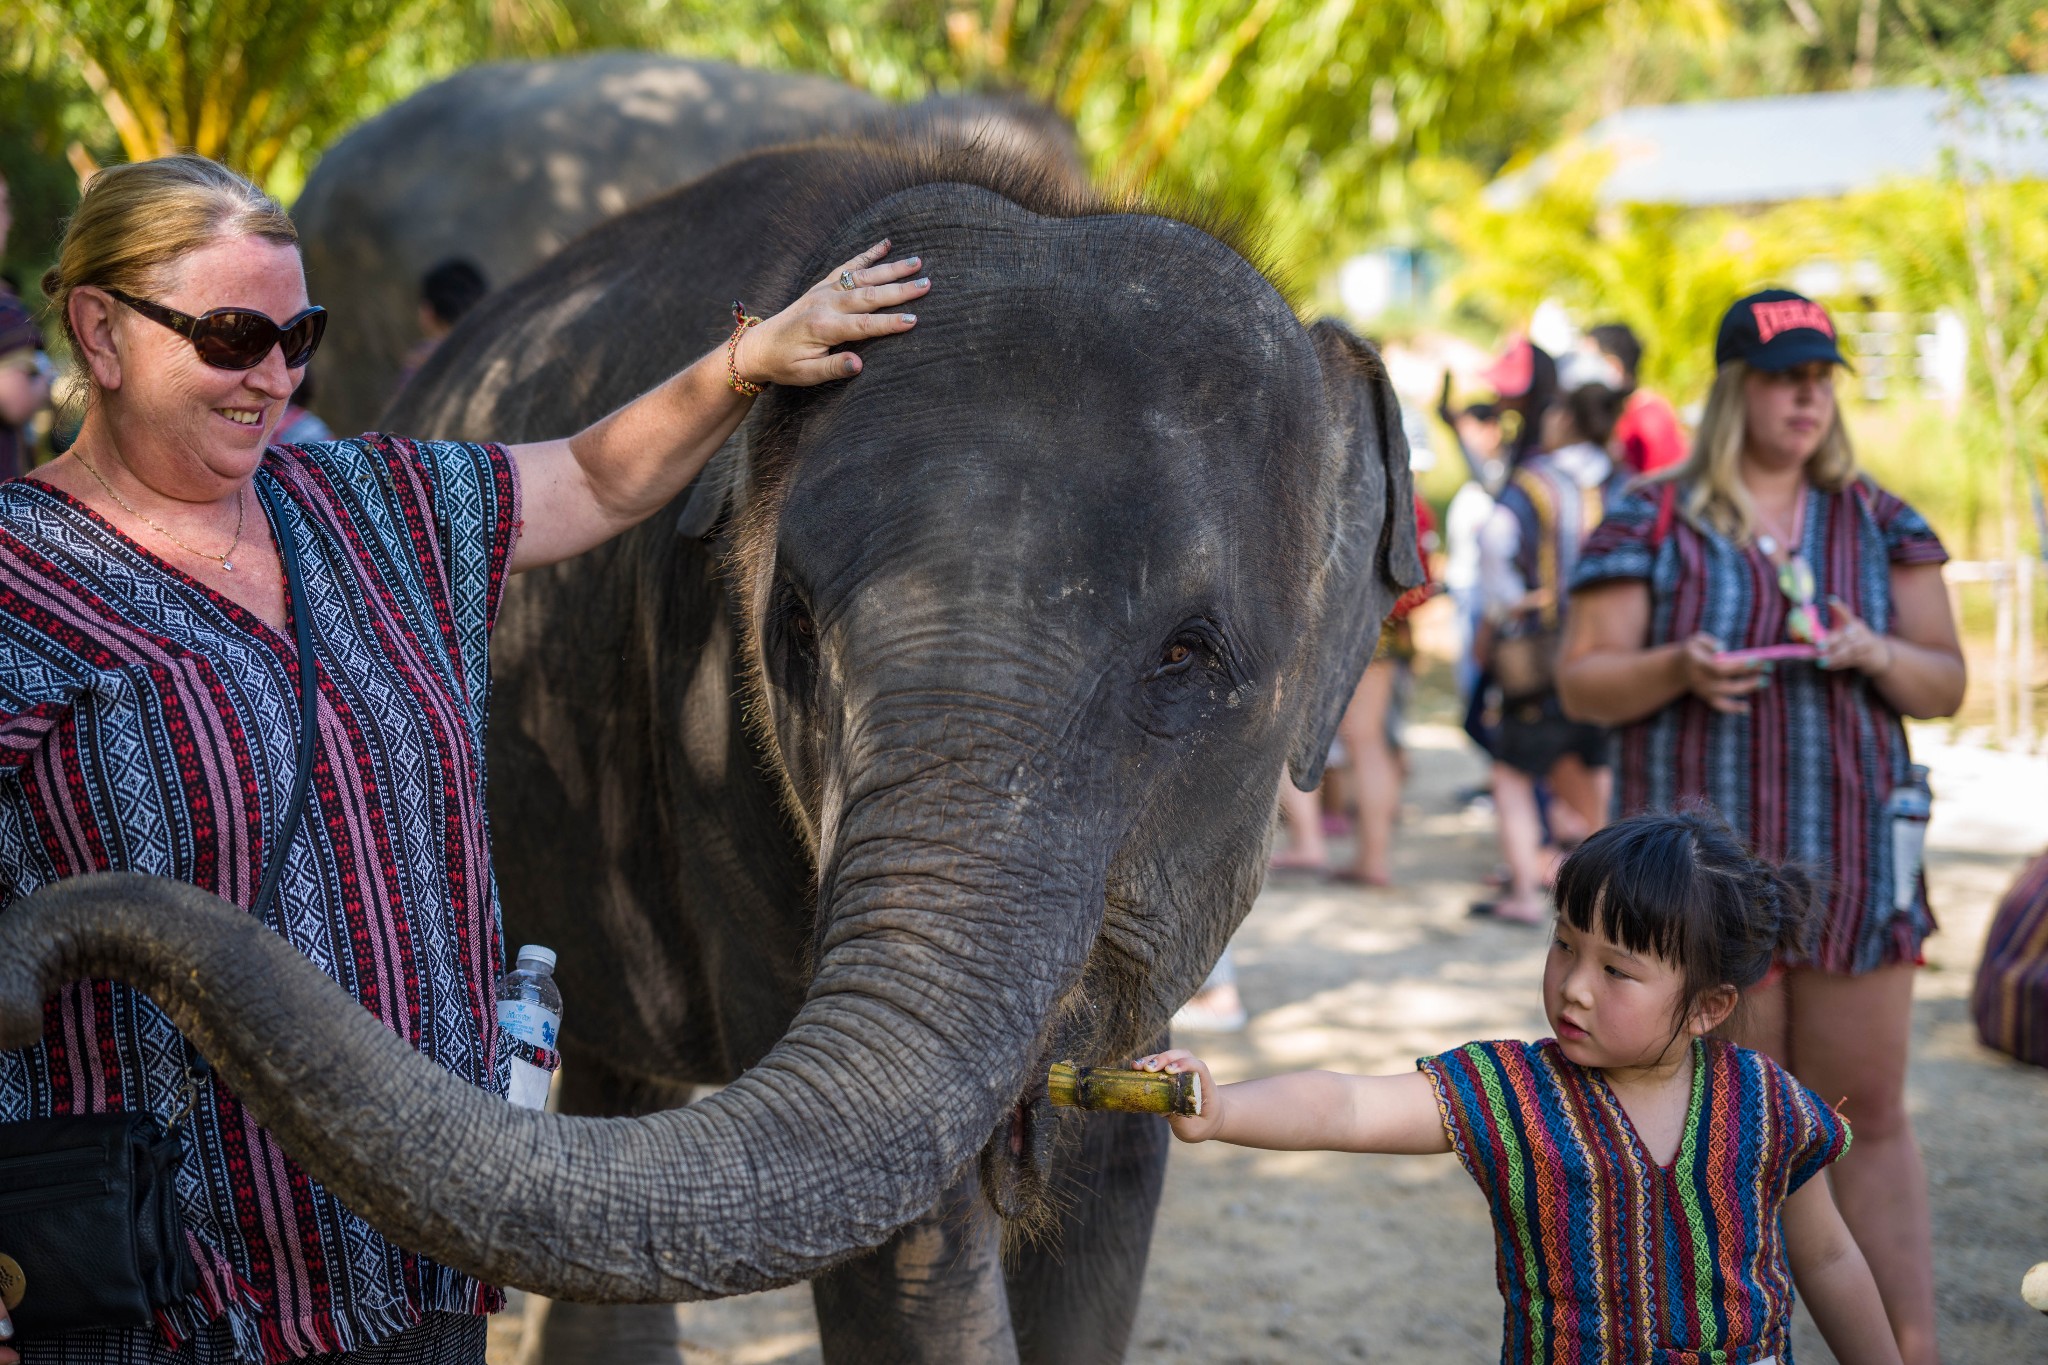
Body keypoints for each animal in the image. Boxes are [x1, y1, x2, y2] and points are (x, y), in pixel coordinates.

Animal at [0, 130, 1417, 1365]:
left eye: (1190, 654)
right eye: (789, 627)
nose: (28, 967)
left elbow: (1116, 1184)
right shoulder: (713, 753)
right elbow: (908, 1253)